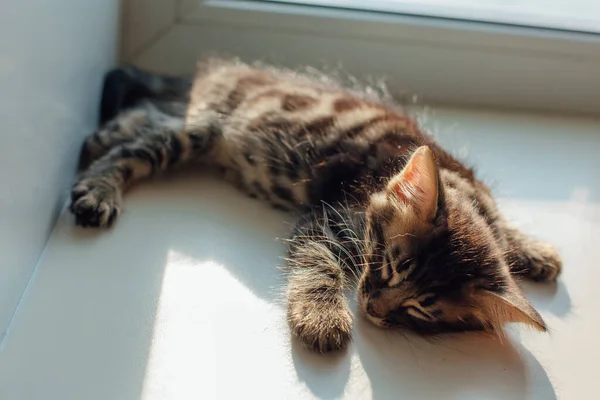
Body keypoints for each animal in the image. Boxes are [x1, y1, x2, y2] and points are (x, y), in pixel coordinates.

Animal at [71, 59, 564, 354]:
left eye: (423, 310)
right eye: (391, 265)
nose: (374, 308)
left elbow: (503, 231)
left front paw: (533, 250)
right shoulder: (328, 218)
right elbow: (318, 265)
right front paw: (321, 317)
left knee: (145, 115)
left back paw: (106, 133)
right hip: (201, 127)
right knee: (134, 147)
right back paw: (98, 182)